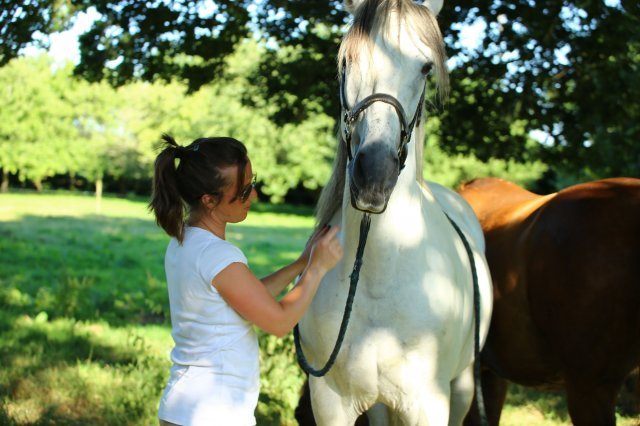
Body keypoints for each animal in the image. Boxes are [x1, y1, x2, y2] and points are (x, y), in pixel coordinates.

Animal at [295, 1, 493, 424]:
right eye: (347, 61)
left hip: (463, 384)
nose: (374, 175)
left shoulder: (429, 402)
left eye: (425, 68)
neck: (377, 278)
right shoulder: (330, 401)